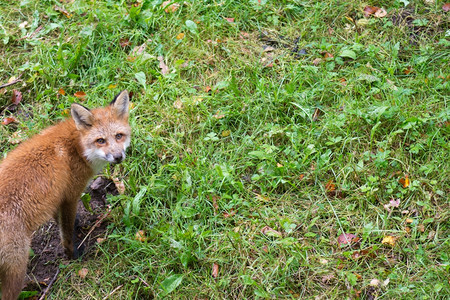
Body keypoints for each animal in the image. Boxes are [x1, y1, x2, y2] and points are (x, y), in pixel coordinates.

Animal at [0, 90, 131, 298]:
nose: (118, 157)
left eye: (119, 136)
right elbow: (66, 232)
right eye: (100, 140)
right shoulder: (70, 196)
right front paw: (72, 254)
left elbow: (59, 220)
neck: (77, 148)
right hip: (16, 268)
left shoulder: (56, 196)